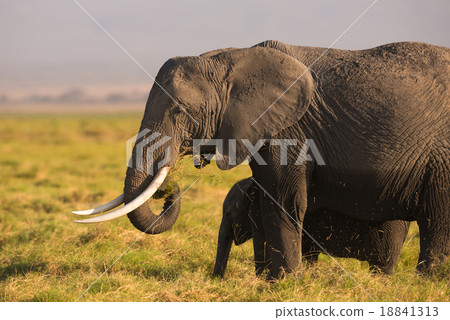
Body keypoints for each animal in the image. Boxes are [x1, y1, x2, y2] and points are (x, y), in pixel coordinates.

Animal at [214, 178, 412, 278]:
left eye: (228, 213)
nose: (218, 280)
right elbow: (308, 254)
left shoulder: (259, 210)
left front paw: (264, 280)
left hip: (390, 232)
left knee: (383, 265)